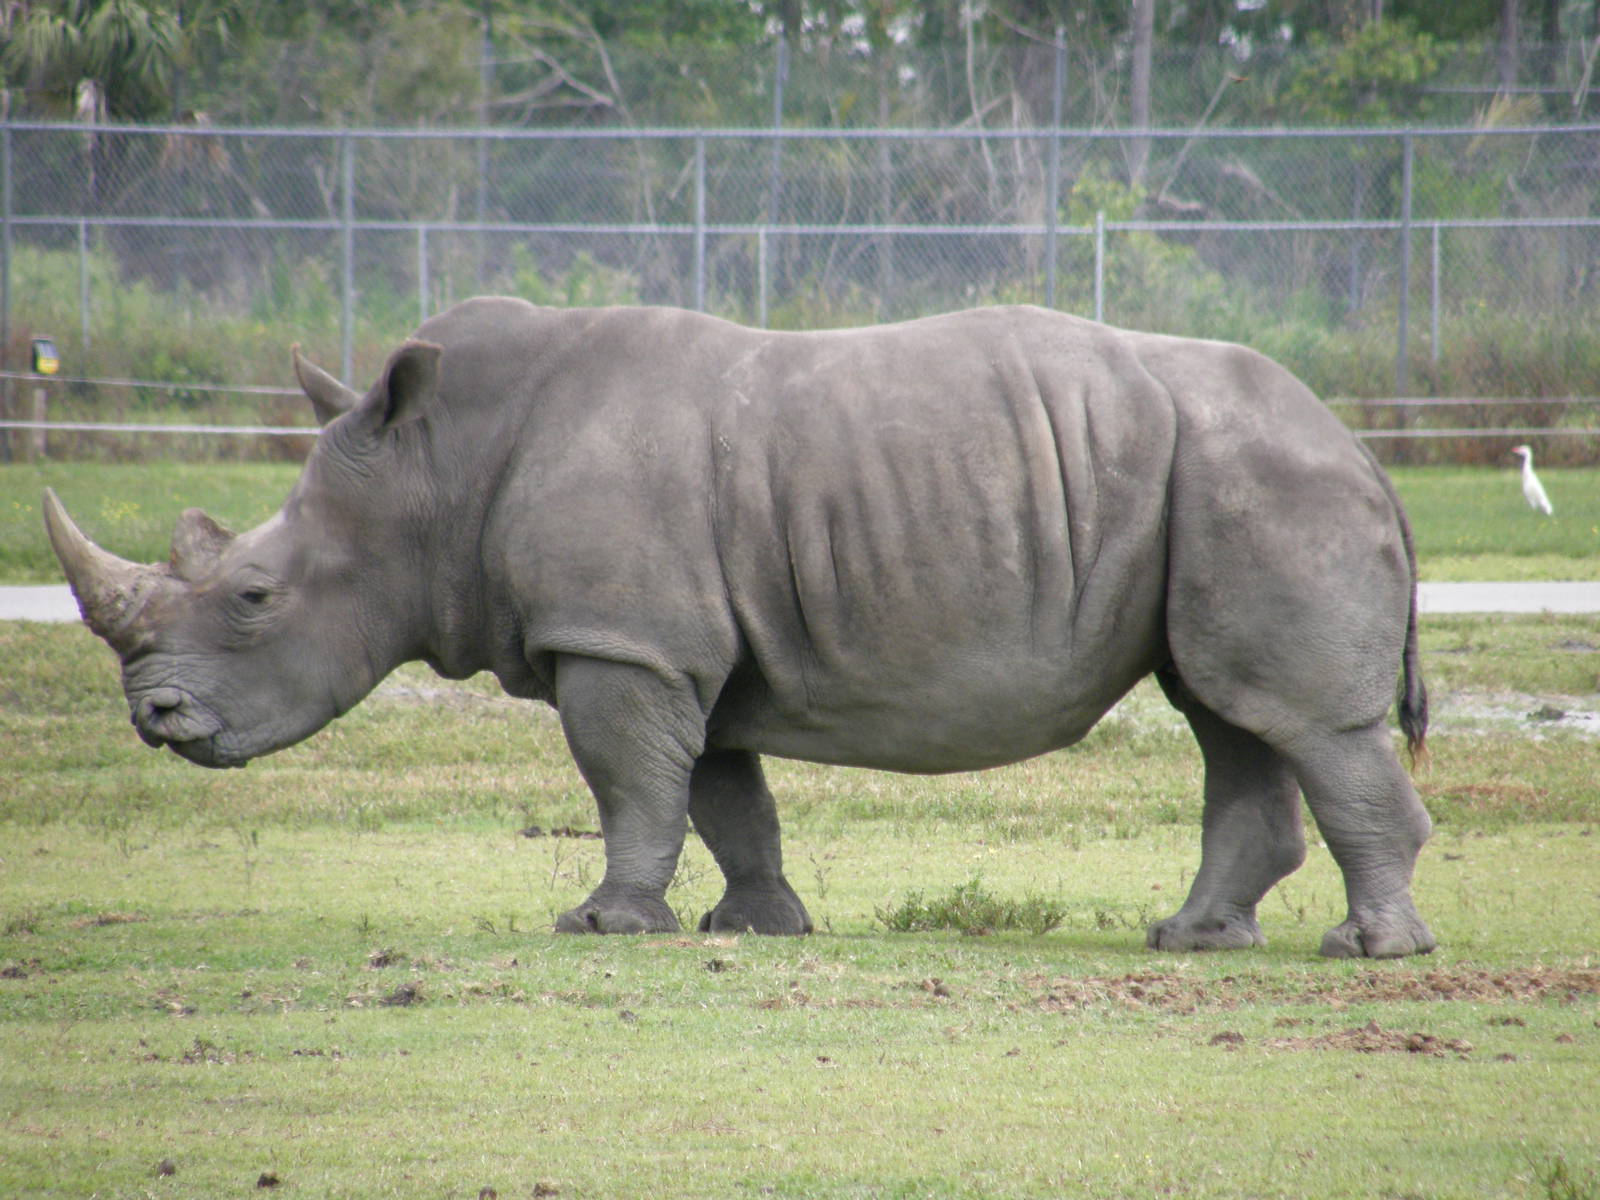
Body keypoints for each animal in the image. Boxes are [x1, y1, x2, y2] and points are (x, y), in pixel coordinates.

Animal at [44, 299, 1437, 958]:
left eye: (253, 596)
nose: (153, 717)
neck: (436, 473)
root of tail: (1364, 450)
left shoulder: (619, 637)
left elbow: (627, 782)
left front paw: (602, 928)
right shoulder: (665, 638)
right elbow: (718, 790)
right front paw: (753, 928)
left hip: (1266, 481)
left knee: (1291, 719)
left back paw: (1362, 953)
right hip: (1219, 483)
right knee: (1230, 712)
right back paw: (1194, 940)